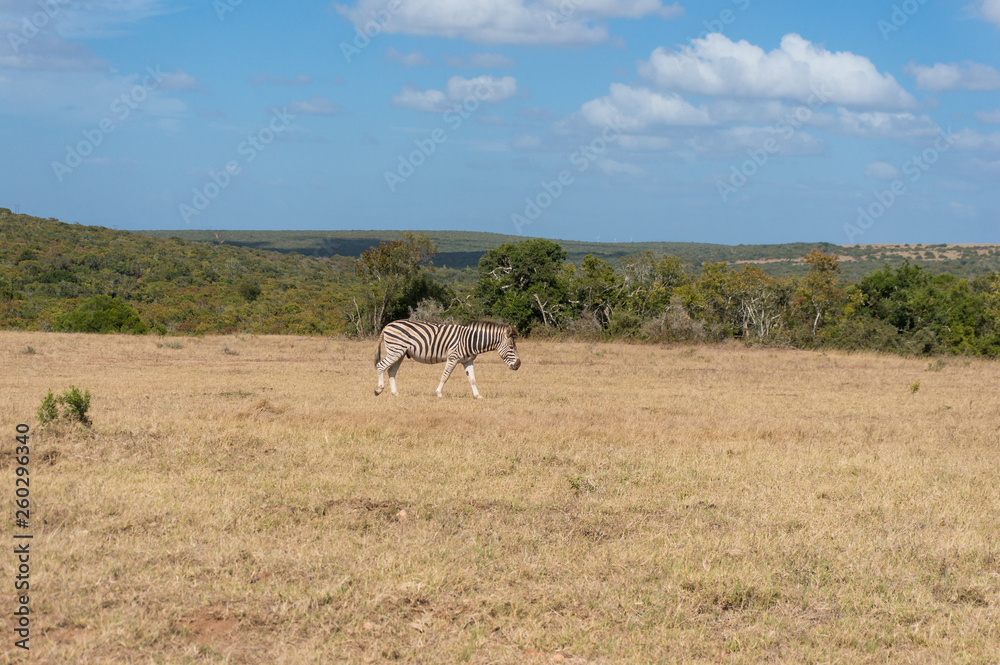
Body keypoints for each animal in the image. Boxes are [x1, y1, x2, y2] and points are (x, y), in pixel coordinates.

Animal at [374, 319, 521, 398]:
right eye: (511, 347)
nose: (519, 364)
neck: (470, 341)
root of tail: (388, 325)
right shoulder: (453, 358)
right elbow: (445, 376)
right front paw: (438, 393)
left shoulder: (468, 360)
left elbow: (472, 379)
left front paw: (477, 395)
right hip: (395, 351)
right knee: (381, 366)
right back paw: (378, 390)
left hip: (400, 353)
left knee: (391, 371)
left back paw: (395, 393)